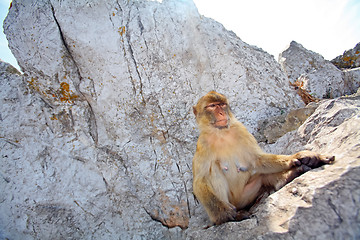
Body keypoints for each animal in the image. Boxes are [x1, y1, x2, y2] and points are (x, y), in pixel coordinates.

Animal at [191, 91, 334, 226]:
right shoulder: (202, 144)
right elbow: (200, 180)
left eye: (222, 105)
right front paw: (223, 214)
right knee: (213, 170)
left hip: (245, 196)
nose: (221, 113)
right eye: (212, 106)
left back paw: (291, 174)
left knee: (262, 176)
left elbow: (258, 160)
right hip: (234, 202)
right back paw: (231, 217)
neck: (221, 133)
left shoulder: (241, 130)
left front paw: (301, 156)